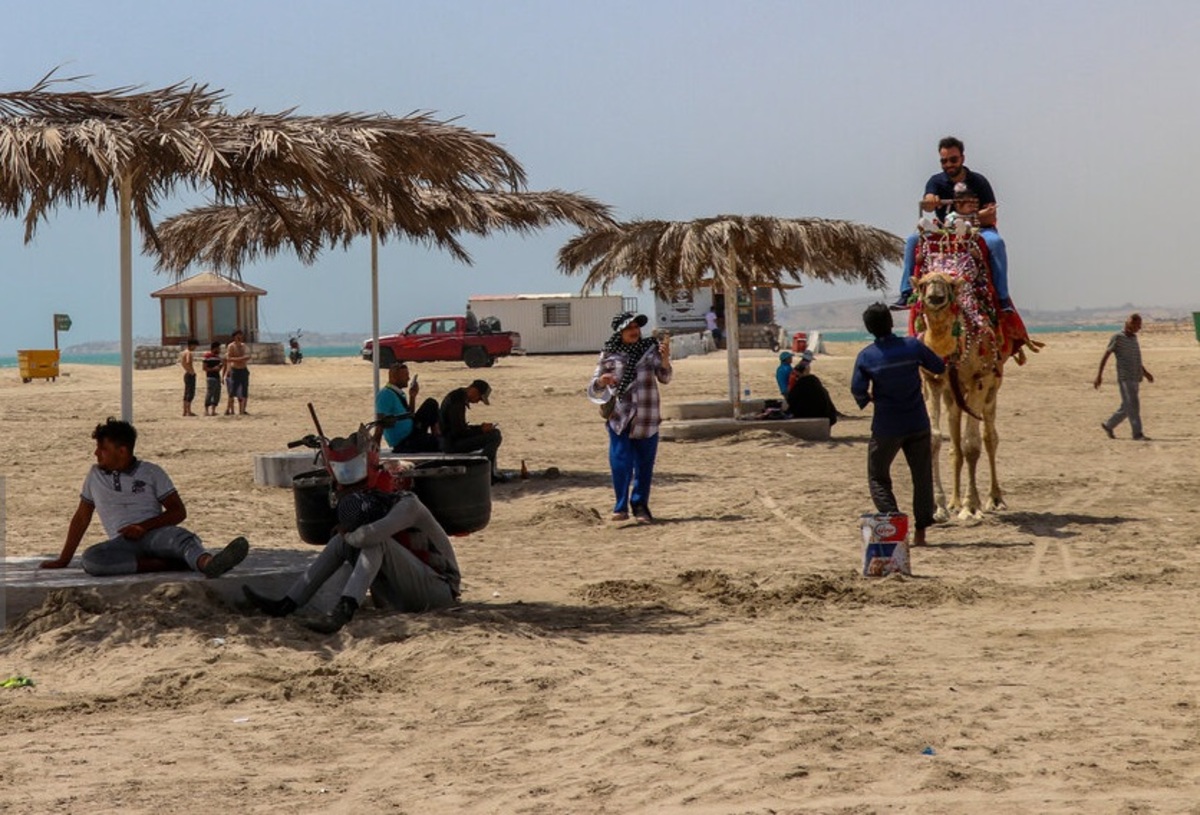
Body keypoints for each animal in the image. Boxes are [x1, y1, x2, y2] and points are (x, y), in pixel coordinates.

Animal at [916, 267, 1003, 523]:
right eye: (923, 283)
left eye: (951, 283)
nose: (935, 297)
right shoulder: (933, 381)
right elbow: (934, 438)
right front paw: (938, 507)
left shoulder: (978, 381)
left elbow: (972, 444)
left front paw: (971, 506)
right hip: (952, 397)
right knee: (955, 442)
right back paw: (954, 502)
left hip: (992, 389)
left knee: (990, 437)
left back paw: (994, 499)